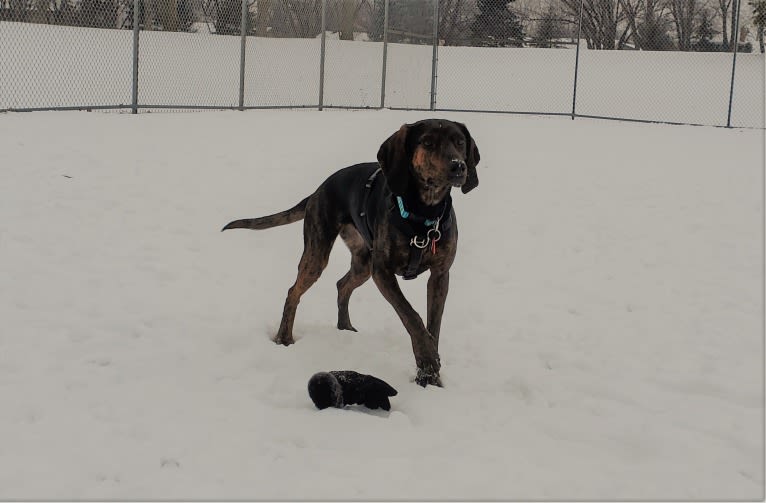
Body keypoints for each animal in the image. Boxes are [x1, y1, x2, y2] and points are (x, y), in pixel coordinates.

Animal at [222, 120, 484, 388]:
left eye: (460, 142)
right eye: (428, 142)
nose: (458, 166)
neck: (423, 213)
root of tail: (318, 190)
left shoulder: (440, 275)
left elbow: (434, 325)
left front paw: (430, 375)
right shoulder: (383, 272)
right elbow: (411, 316)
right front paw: (428, 360)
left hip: (363, 264)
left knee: (342, 284)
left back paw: (344, 326)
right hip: (318, 254)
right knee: (293, 291)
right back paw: (283, 338)